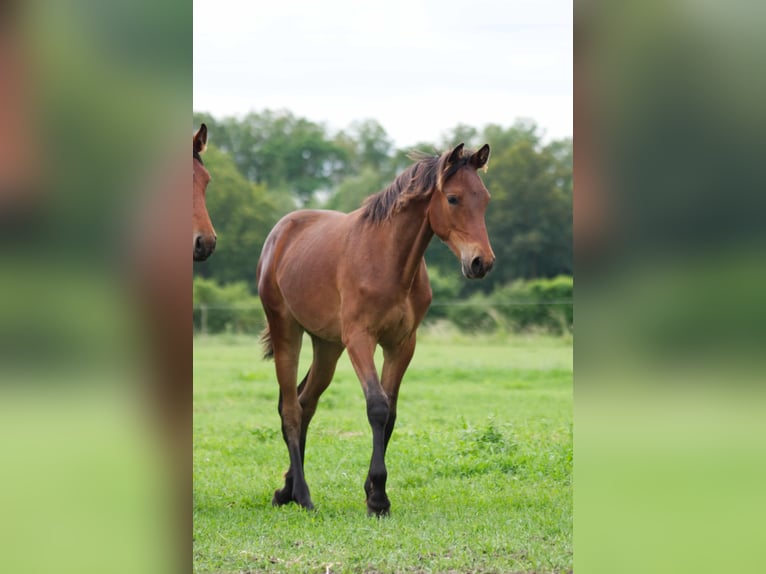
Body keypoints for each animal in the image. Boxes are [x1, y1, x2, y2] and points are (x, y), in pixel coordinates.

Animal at [258, 143, 498, 516]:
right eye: (453, 198)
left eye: (484, 198)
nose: (481, 263)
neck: (389, 262)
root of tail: (279, 234)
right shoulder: (360, 340)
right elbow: (377, 406)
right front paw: (378, 498)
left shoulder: (402, 344)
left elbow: (392, 412)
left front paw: (373, 491)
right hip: (288, 331)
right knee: (290, 409)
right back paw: (303, 496)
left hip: (327, 346)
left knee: (305, 401)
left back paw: (286, 490)